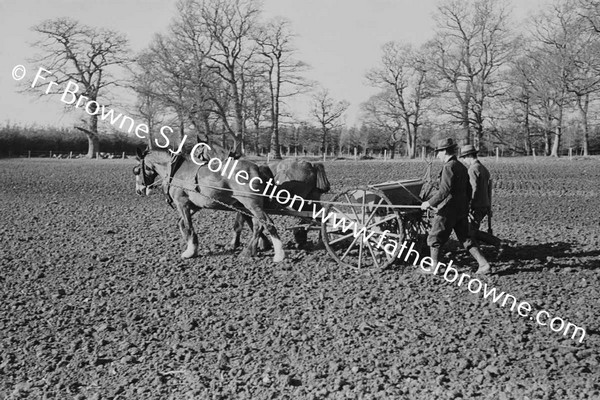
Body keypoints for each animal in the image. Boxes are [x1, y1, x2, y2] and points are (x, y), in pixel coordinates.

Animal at [133, 147, 286, 262]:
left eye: (137, 170)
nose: (139, 190)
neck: (175, 170)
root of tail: (258, 167)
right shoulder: (194, 205)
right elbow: (181, 224)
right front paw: (190, 245)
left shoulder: (182, 203)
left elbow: (188, 226)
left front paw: (191, 251)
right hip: (248, 205)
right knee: (257, 225)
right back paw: (250, 250)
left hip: (251, 203)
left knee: (267, 223)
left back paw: (278, 254)